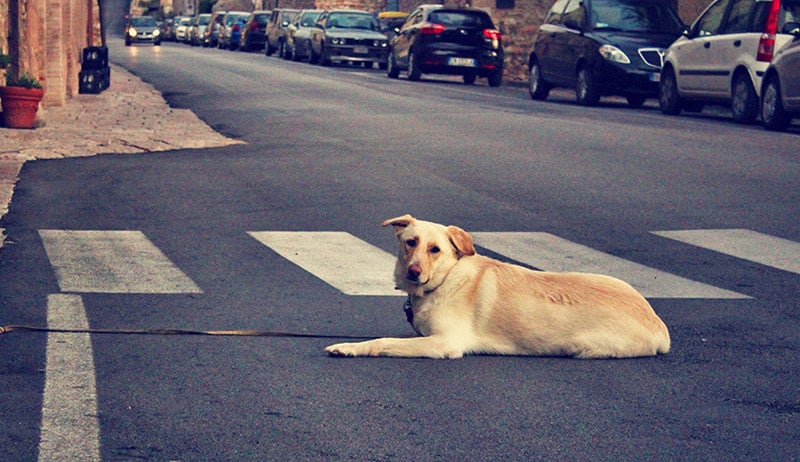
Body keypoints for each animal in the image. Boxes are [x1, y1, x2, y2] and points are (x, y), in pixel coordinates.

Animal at [324, 215, 668, 360]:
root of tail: (658, 324)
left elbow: (383, 342)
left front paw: (349, 348)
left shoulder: (444, 343)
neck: (447, 279)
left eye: (435, 249)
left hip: (588, 346)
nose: (414, 272)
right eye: (411, 242)